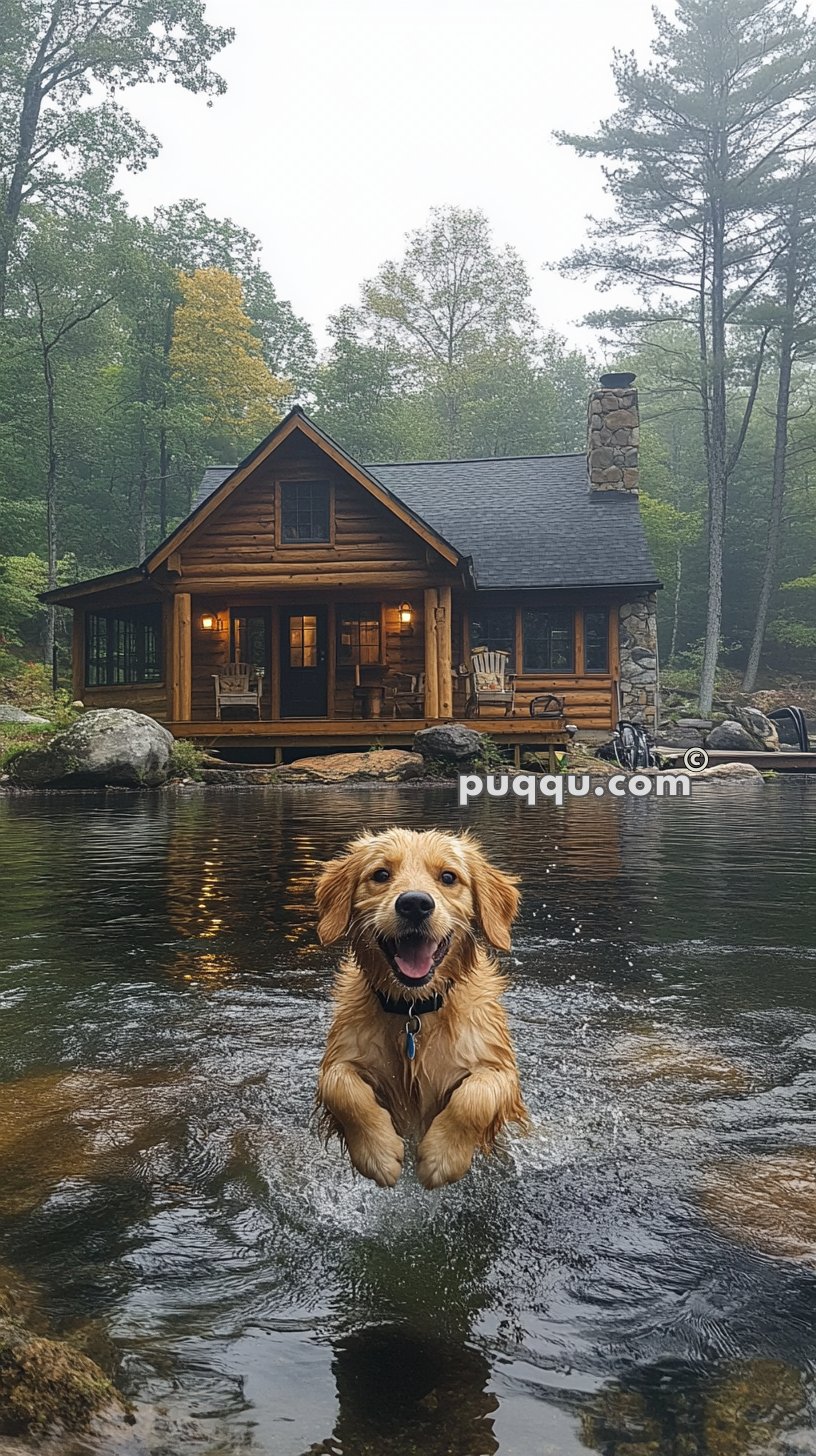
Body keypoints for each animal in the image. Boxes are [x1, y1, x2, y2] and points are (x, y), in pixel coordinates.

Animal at [311, 827, 530, 1188]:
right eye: (381, 874)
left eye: (448, 877)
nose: (414, 903)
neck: (415, 1010)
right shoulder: (340, 1058)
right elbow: (340, 1087)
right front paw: (378, 1155)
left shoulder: (500, 1070)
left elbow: (476, 1096)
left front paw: (443, 1157)